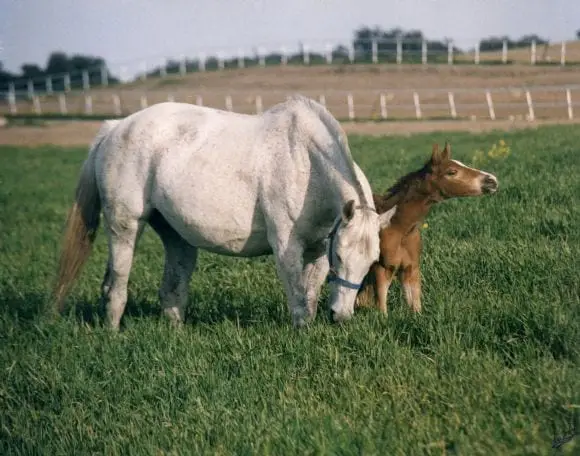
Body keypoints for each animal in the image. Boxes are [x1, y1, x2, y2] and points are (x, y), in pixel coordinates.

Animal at [55, 96, 390, 330]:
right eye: (341, 257)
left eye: (372, 261)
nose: (341, 315)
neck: (306, 161)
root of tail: (115, 128)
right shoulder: (287, 246)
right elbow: (297, 298)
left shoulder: (319, 247)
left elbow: (308, 294)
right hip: (123, 228)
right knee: (116, 287)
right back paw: (113, 332)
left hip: (176, 237)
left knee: (171, 290)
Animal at [358, 142, 498, 314]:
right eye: (452, 171)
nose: (492, 181)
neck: (399, 228)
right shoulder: (382, 269)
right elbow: (382, 309)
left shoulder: (410, 268)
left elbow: (415, 306)